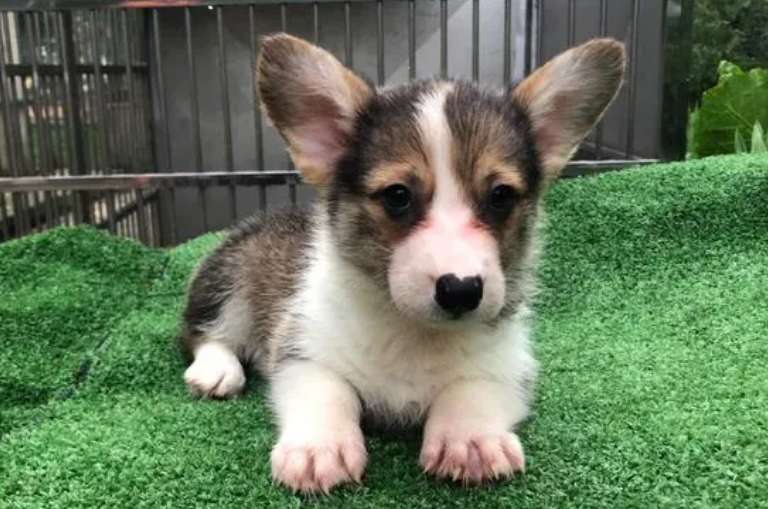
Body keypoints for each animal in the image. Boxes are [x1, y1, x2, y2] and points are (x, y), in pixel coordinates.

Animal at [180, 31, 624, 492]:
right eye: (397, 195)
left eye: (501, 195)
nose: (460, 290)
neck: (415, 332)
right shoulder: (301, 348)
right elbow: (326, 390)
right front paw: (320, 448)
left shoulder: (508, 363)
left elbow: (474, 388)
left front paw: (470, 439)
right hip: (227, 280)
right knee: (202, 333)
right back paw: (216, 371)